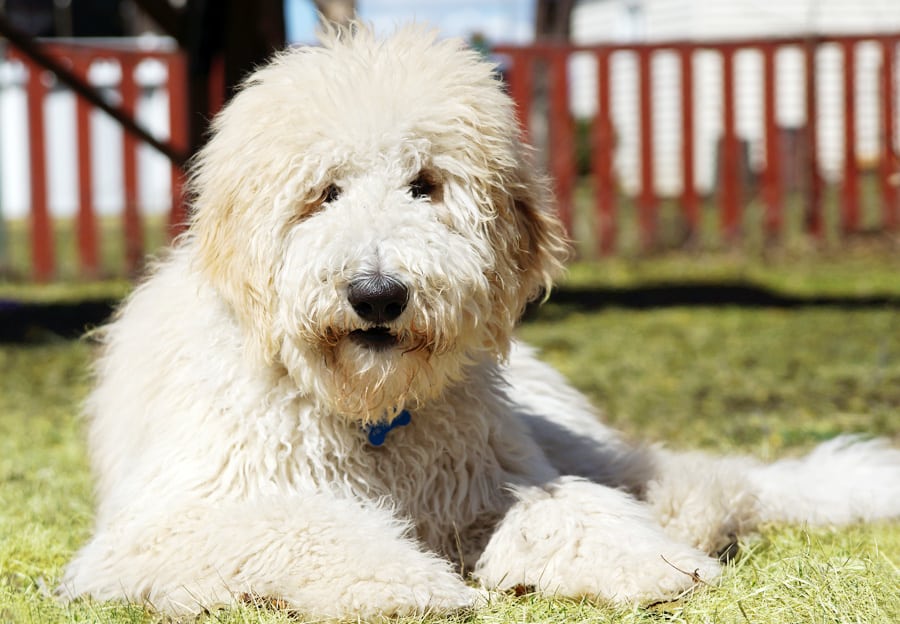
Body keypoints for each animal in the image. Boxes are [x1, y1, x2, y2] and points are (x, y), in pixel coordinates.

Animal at [63, 25, 900, 620]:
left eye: (425, 184)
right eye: (325, 192)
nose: (377, 295)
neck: (369, 416)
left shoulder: (486, 480)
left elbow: (565, 510)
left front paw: (649, 561)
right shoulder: (165, 525)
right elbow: (295, 524)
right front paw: (405, 581)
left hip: (556, 433)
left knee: (686, 475)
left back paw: (692, 518)